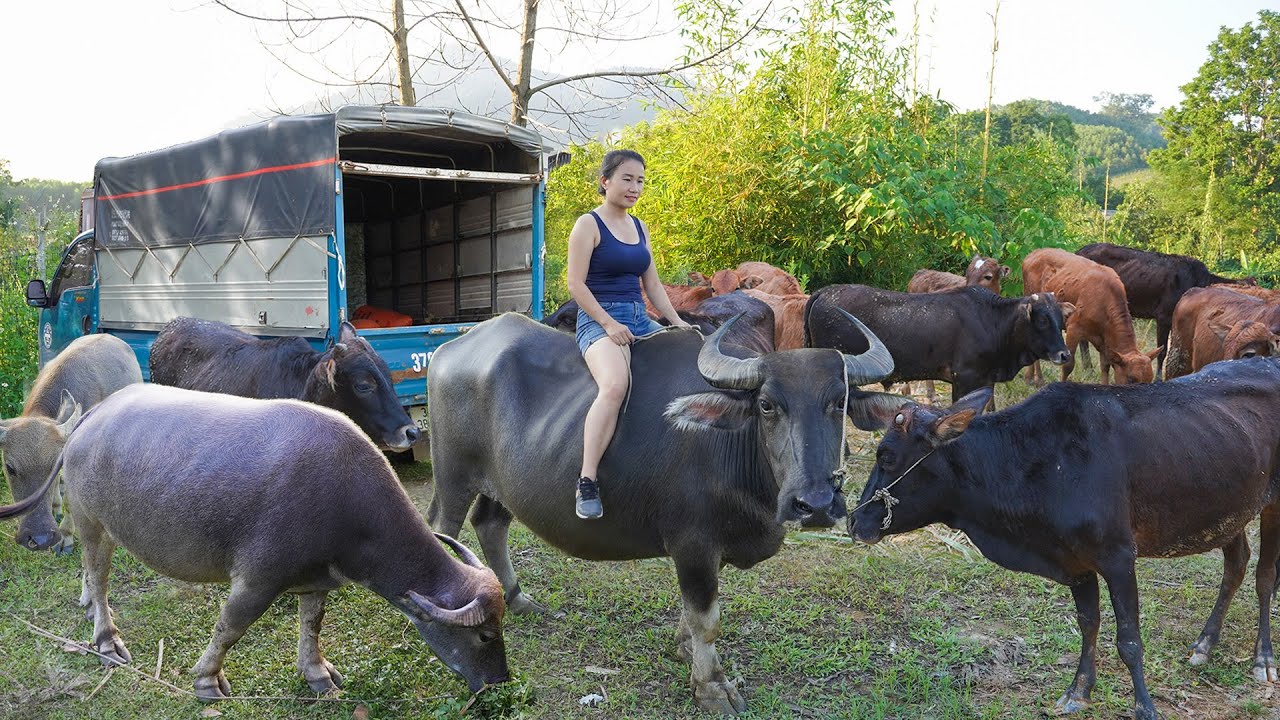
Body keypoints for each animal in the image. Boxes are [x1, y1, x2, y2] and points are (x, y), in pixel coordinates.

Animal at [0, 383, 509, 700]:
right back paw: (106, 639)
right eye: (486, 634)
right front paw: (208, 681)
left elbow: (312, 624)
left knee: (91, 572)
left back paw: (87, 605)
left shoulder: (317, 579)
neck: (346, 499)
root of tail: (89, 419)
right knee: (100, 572)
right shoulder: (257, 580)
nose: (500, 681)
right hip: (90, 519)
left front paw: (317, 674)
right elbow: (230, 628)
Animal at [424, 311, 895, 714]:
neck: (729, 449)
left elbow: (694, 615)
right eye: (766, 405)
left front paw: (686, 648)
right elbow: (707, 619)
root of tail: (450, 350)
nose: (815, 503)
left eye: (840, 401)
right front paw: (711, 687)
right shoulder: (693, 545)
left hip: (503, 485)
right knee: (443, 532)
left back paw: (517, 598)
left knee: (491, 523)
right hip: (452, 478)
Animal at [805, 285, 1071, 404]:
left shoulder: (986, 380)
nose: (1065, 354)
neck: (992, 321)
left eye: (1061, 319)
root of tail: (825, 292)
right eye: (1042, 320)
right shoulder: (964, 378)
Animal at [850, 357, 1280, 720]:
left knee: (1264, 576)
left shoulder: (1118, 557)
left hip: (1272, 504)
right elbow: (1089, 623)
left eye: (886, 456)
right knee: (1236, 563)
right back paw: (1205, 644)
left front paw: (1144, 708)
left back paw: (1263, 659)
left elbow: (1129, 640)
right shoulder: (1074, 562)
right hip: (1229, 508)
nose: (854, 522)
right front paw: (1078, 692)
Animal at [1022, 248, 1159, 385]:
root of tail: (1034, 253)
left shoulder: (1104, 340)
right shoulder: (1073, 328)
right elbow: (1068, 365)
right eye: (1131, 379)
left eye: (1150, 380)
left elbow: (1105, 366)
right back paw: (1035, 378)